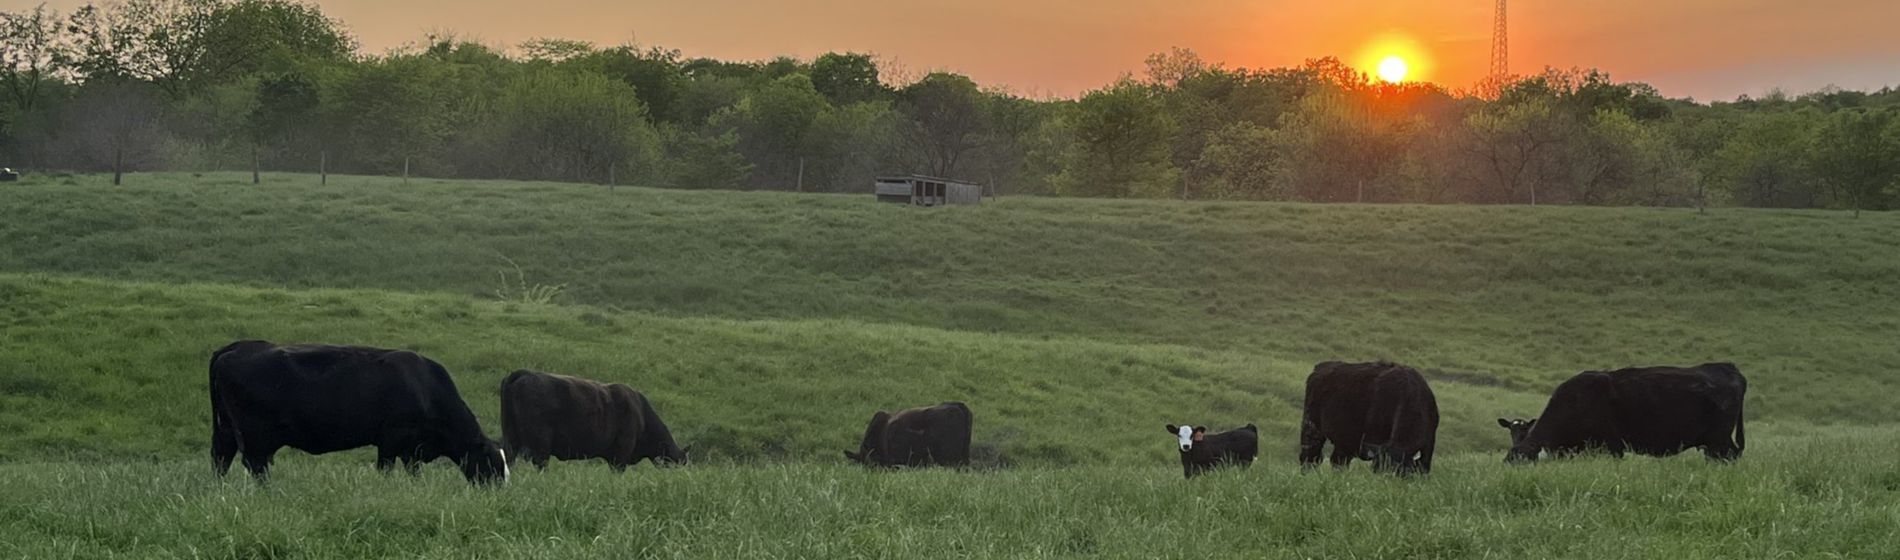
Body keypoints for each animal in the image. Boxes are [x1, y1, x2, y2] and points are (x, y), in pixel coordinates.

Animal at [208, 340, 508, 485]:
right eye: (493, 463)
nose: (498, 491)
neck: (424, 386)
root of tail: (236, 347)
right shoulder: (392, 439)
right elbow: (386, 469)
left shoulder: (410, 447)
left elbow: (413, 470)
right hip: (255, 435)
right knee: (254, 465)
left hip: (226, 430)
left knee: (221, 459)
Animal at [499, 370, 688, 471]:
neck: (641, 415)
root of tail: (525, 373)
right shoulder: (621, 455)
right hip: (540, 443)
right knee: (540, 464)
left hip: (511, 437)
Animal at [1298, 361, 1440, 475]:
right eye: (1379, 469)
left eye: (1401, 471)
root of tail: (1319, 368)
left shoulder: (1428, 447)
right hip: (1311, 428)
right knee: (1310, 457)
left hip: (1344, 441)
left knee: (1338, 461)